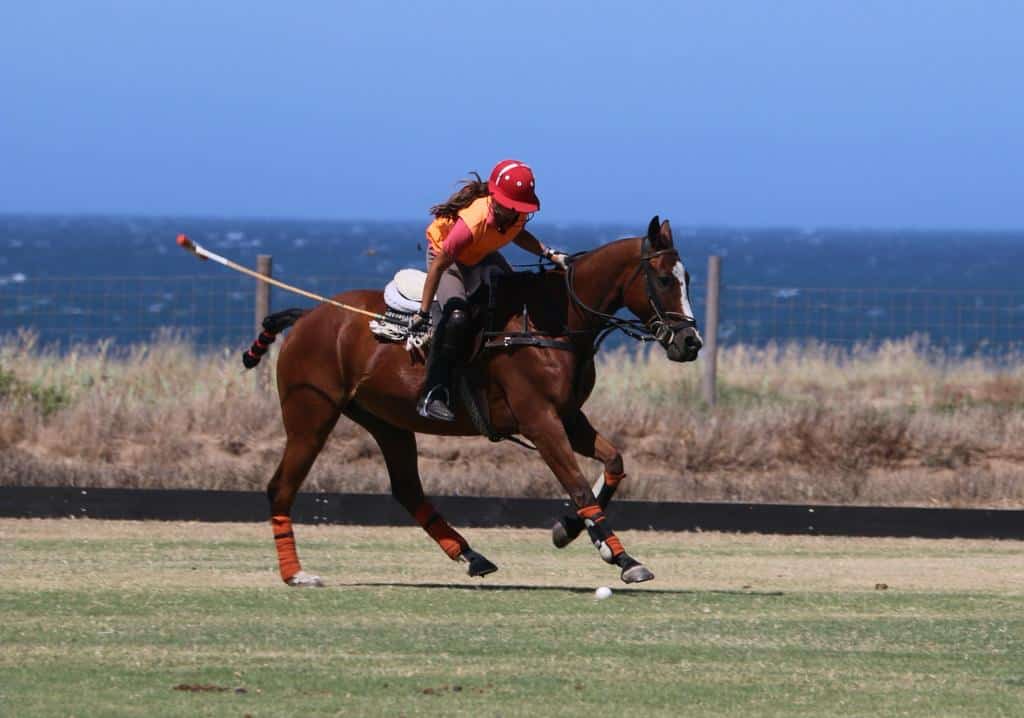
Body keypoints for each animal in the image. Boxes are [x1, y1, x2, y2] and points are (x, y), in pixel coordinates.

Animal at [256, 216, 704, 585]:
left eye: (687, 277)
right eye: (664, 279)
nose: (691, 342)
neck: (554, 321)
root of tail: (307, 316)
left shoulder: (568, 416)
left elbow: (613, 463)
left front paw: (570, 531)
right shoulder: (540, 420)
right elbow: (578, 486)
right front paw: (623, 557)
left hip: (386, 420)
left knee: (407, 489)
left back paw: (471, 556)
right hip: (312, 415)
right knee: (281, 486)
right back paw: (295, 573)